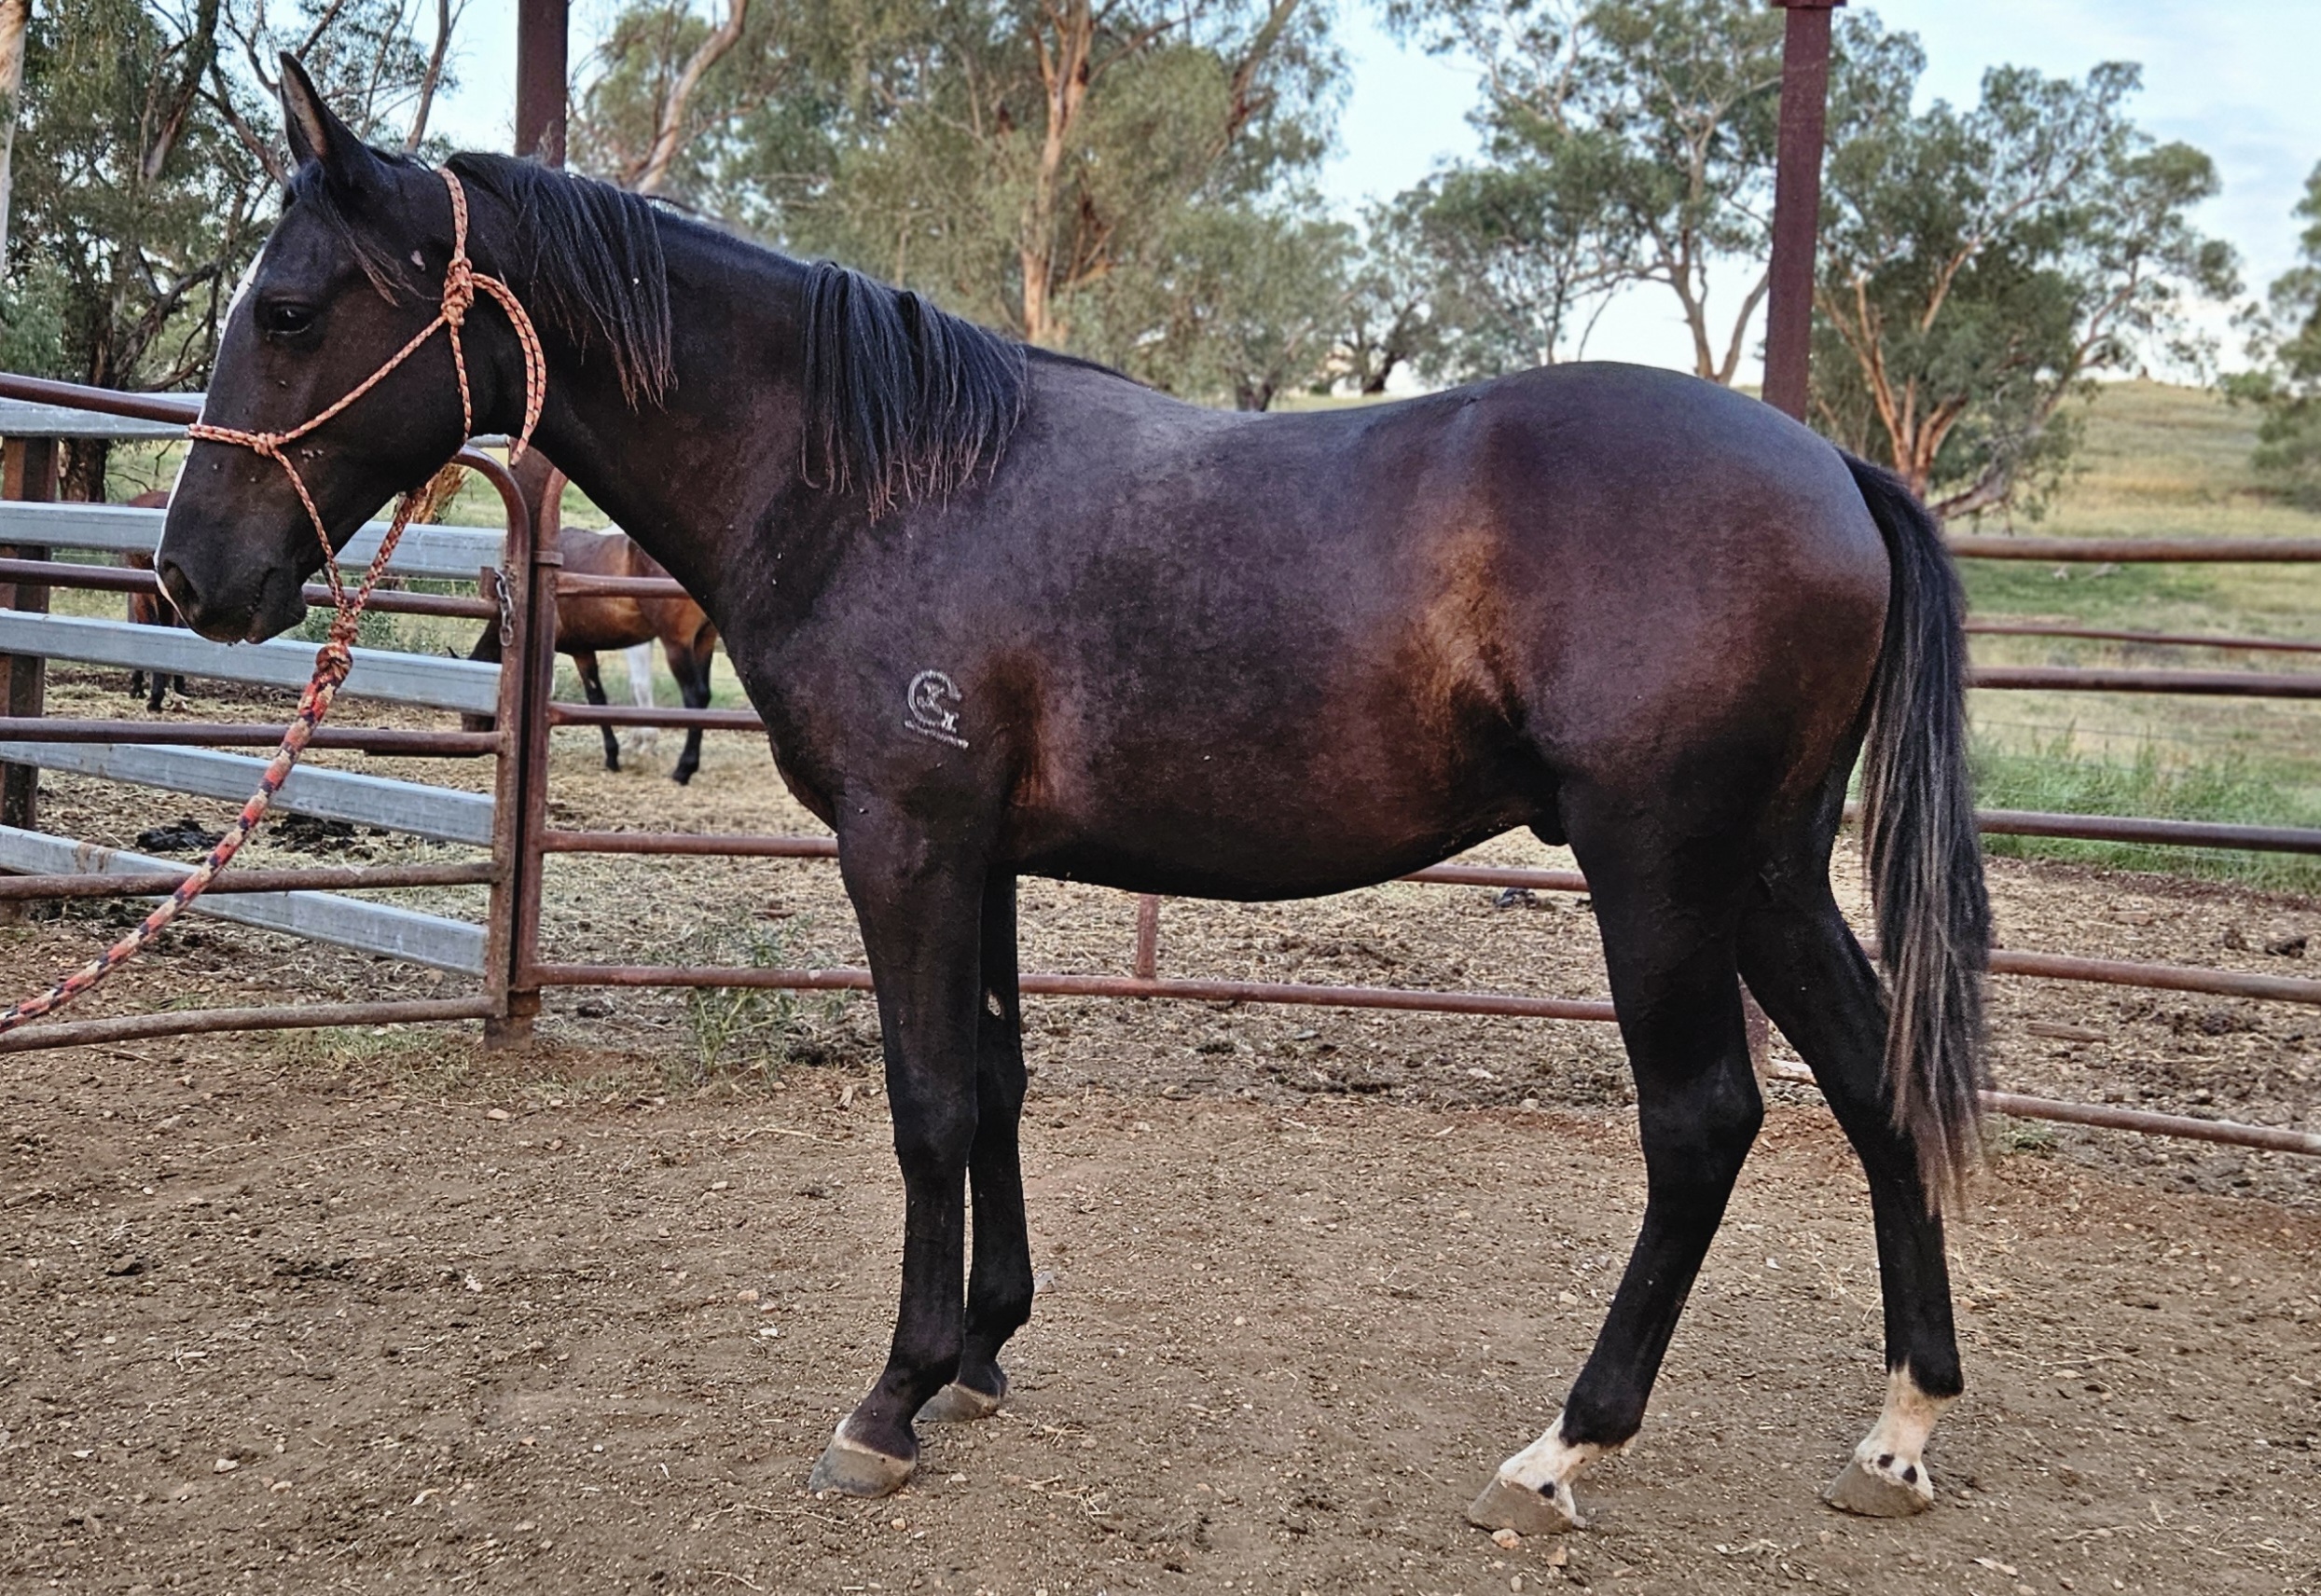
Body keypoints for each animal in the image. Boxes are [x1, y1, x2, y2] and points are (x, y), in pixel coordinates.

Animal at [466, 525, 719, 784]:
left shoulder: (572, 651)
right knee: (704, 695)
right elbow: (597, 697)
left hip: (677, 645)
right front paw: (614, 755)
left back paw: (683, 768)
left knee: (694, 696)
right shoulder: (583, 651)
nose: (470, 733)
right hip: (703, 642)